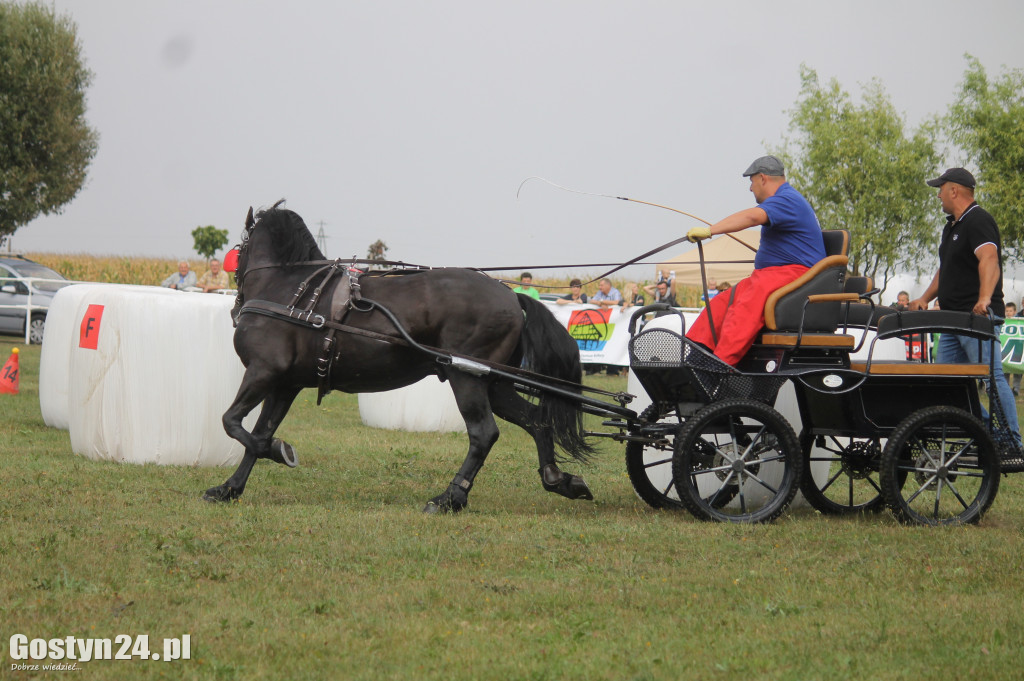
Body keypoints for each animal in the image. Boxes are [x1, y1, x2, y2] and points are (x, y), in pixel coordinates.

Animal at [201, 201, 593, 509]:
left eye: (241, 245)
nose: (234, 303)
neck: (286, 290)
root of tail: (512, 295)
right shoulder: (285, 383)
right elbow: (258, 432)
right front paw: (228, 488)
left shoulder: (263, 371)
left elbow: (234, 423)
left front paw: (279, 452)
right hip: (493, 383)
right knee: (536, 421)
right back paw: (559, 479)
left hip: (466, 376)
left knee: (484, 433)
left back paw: (450, 498)